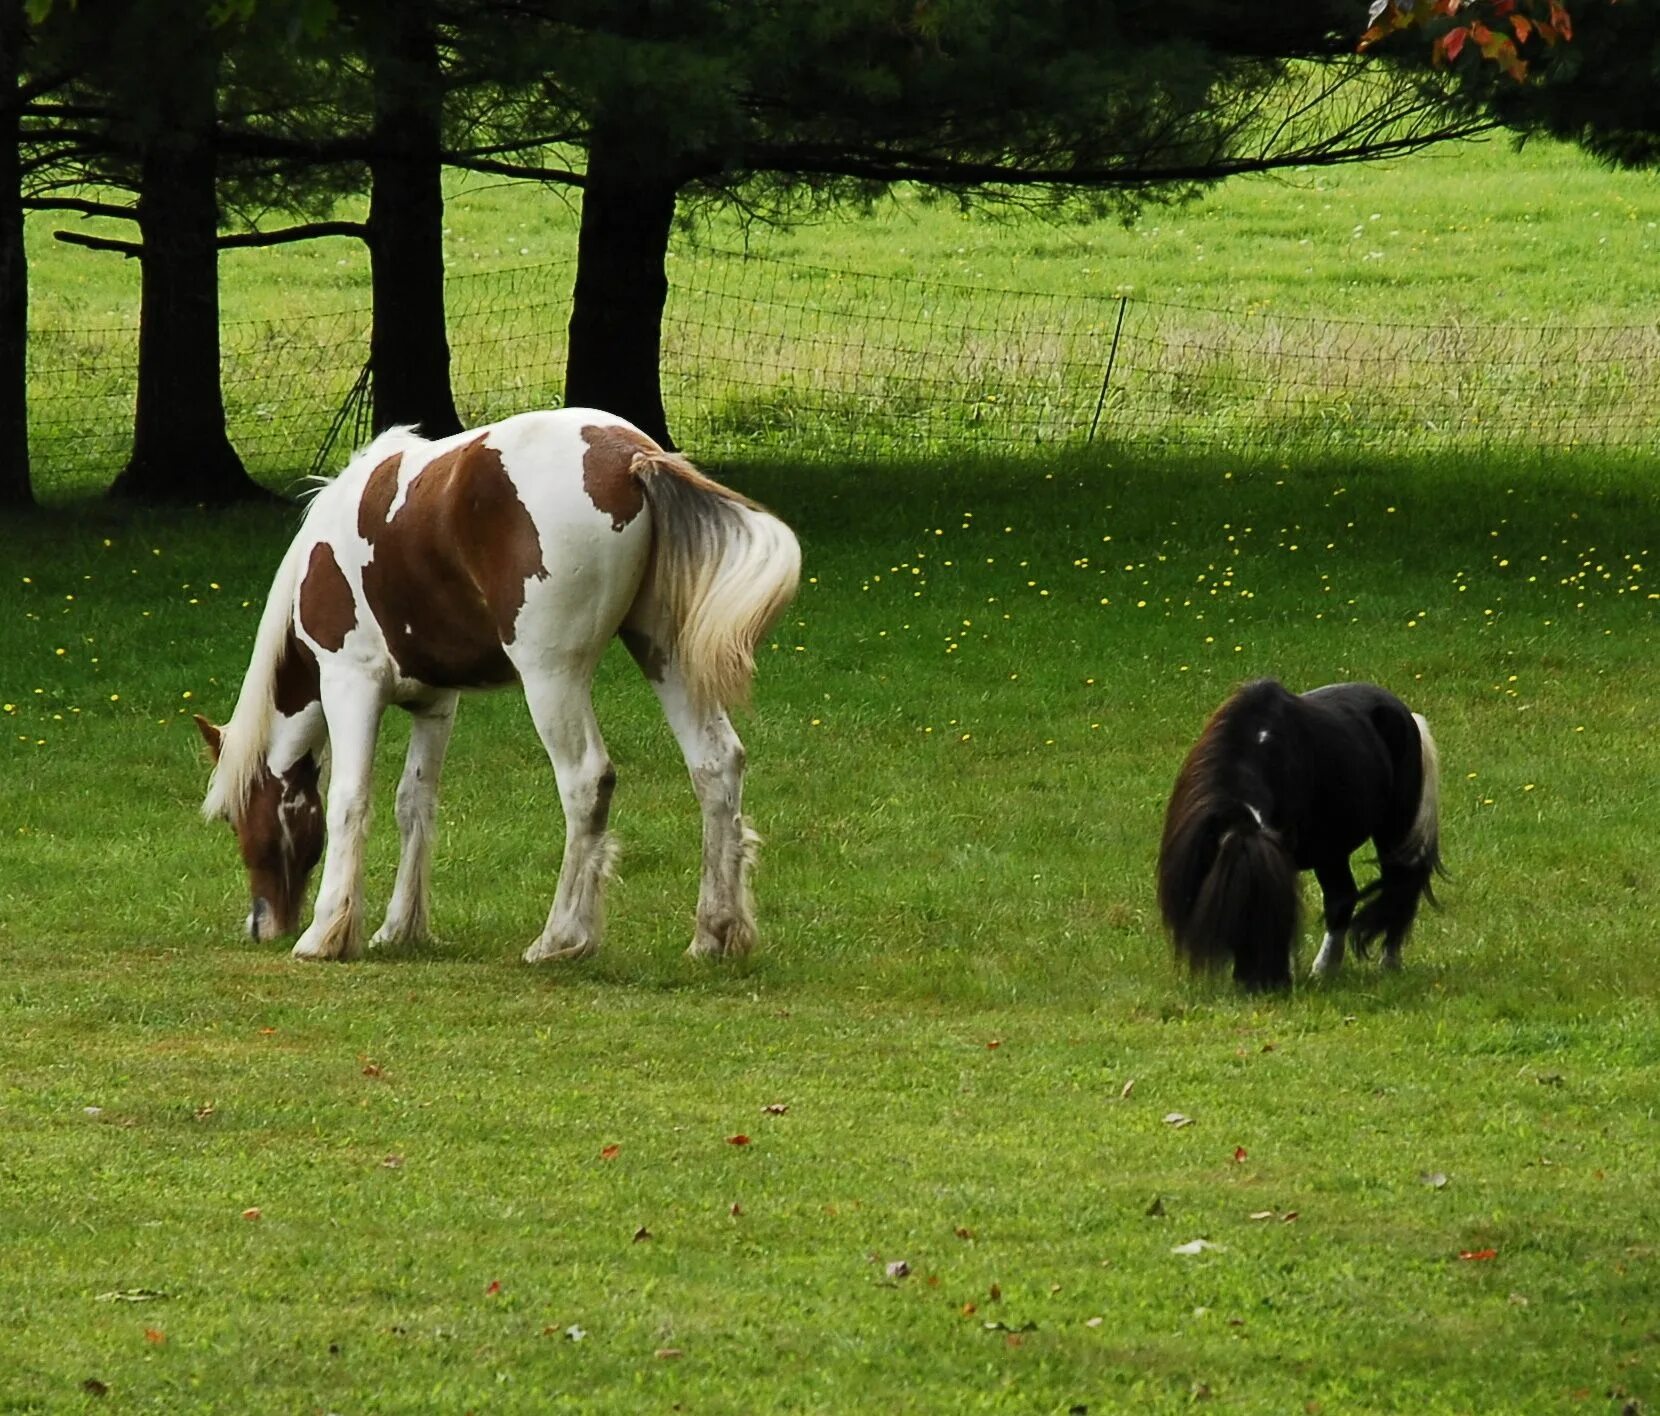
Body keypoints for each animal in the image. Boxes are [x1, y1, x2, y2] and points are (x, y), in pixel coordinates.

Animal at [194, 406, 803, 962]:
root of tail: (632, 457)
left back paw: (561, 939)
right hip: (663, 654)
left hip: (552, 677)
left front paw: (325, 935)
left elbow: (350, 799)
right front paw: (400, 928)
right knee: (715, 764)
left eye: (234, 818)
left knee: (586, 781)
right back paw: (714, 934)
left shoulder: (351, 684)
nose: (262, 926)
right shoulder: (436, 703)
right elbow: (414, 802)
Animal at [1155, 680, 1440, 989]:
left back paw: (1387, 962)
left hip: (1393, 831)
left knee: (1397, 887)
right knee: (1343, 896)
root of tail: (1405, 713)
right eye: (1232, 912)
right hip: (1331, 849)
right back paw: (1325, 969)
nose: (1262, 984)